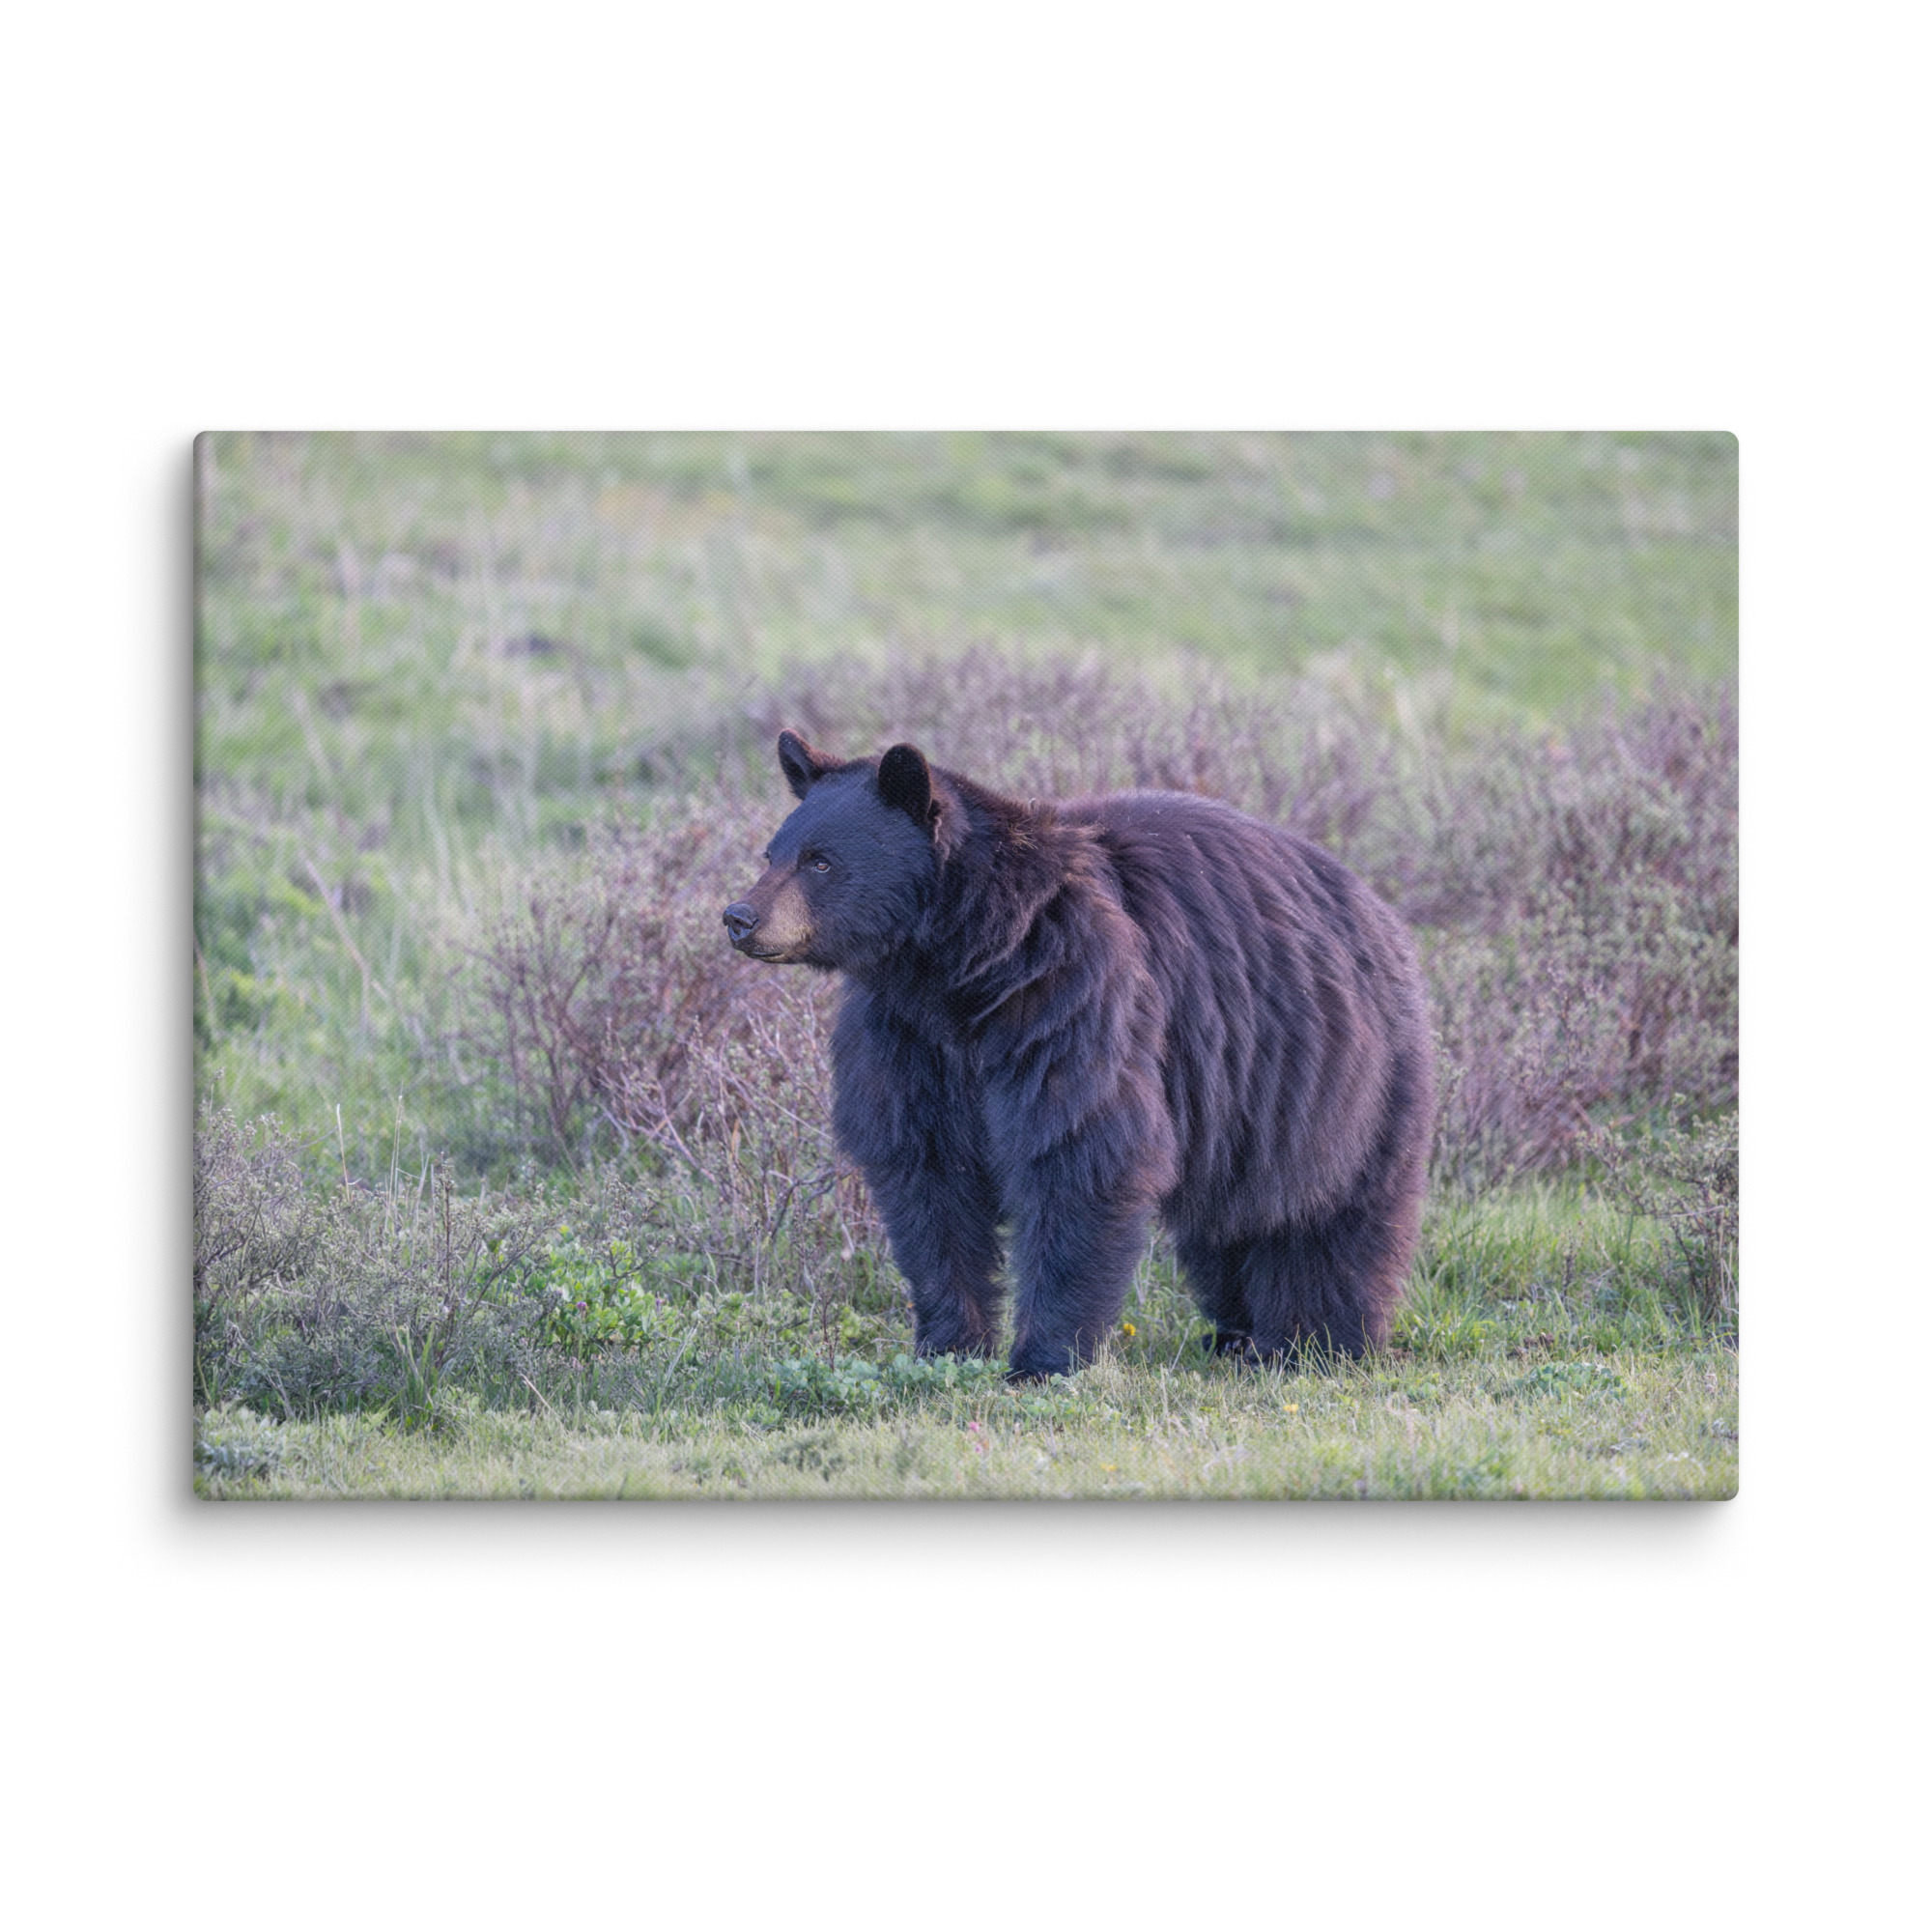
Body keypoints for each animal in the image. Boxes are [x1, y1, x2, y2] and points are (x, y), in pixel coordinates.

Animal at [722, 728, 1435, 1380]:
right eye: (772, 852)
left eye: (820, 861)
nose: (739, 916)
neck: (960, 967)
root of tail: (1379, 909)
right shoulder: (907, 1038)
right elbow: (926, 1176)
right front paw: (948, 1344)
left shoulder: (1071, 996)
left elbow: (1079, 1150)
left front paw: (1043, 1359)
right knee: (1230, 1223)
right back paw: (1235, 1333)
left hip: (1339, 1076)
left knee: (1332, 1215)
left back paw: (1314, 1340)